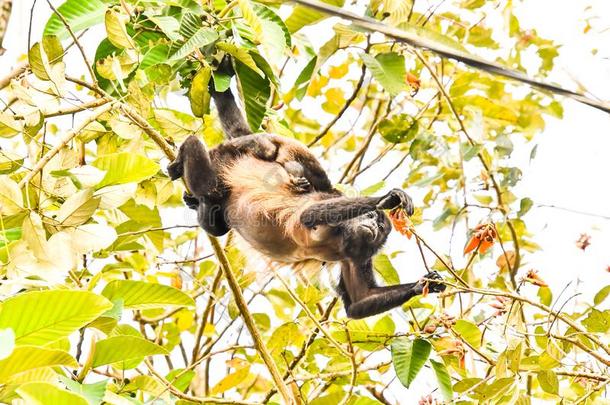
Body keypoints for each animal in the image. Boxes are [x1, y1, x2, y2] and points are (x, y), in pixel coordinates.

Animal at [166, 62, 442, 318]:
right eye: (373, 218)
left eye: (381, 229)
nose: (374, 225)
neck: (342, 239)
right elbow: (309, 214)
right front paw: (389, 198)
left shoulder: (357, 256)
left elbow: (359, 300)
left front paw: (424, 284)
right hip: (227, 156)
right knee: (214, 176)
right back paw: (184, 159)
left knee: (216, 222)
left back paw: (194, 199)